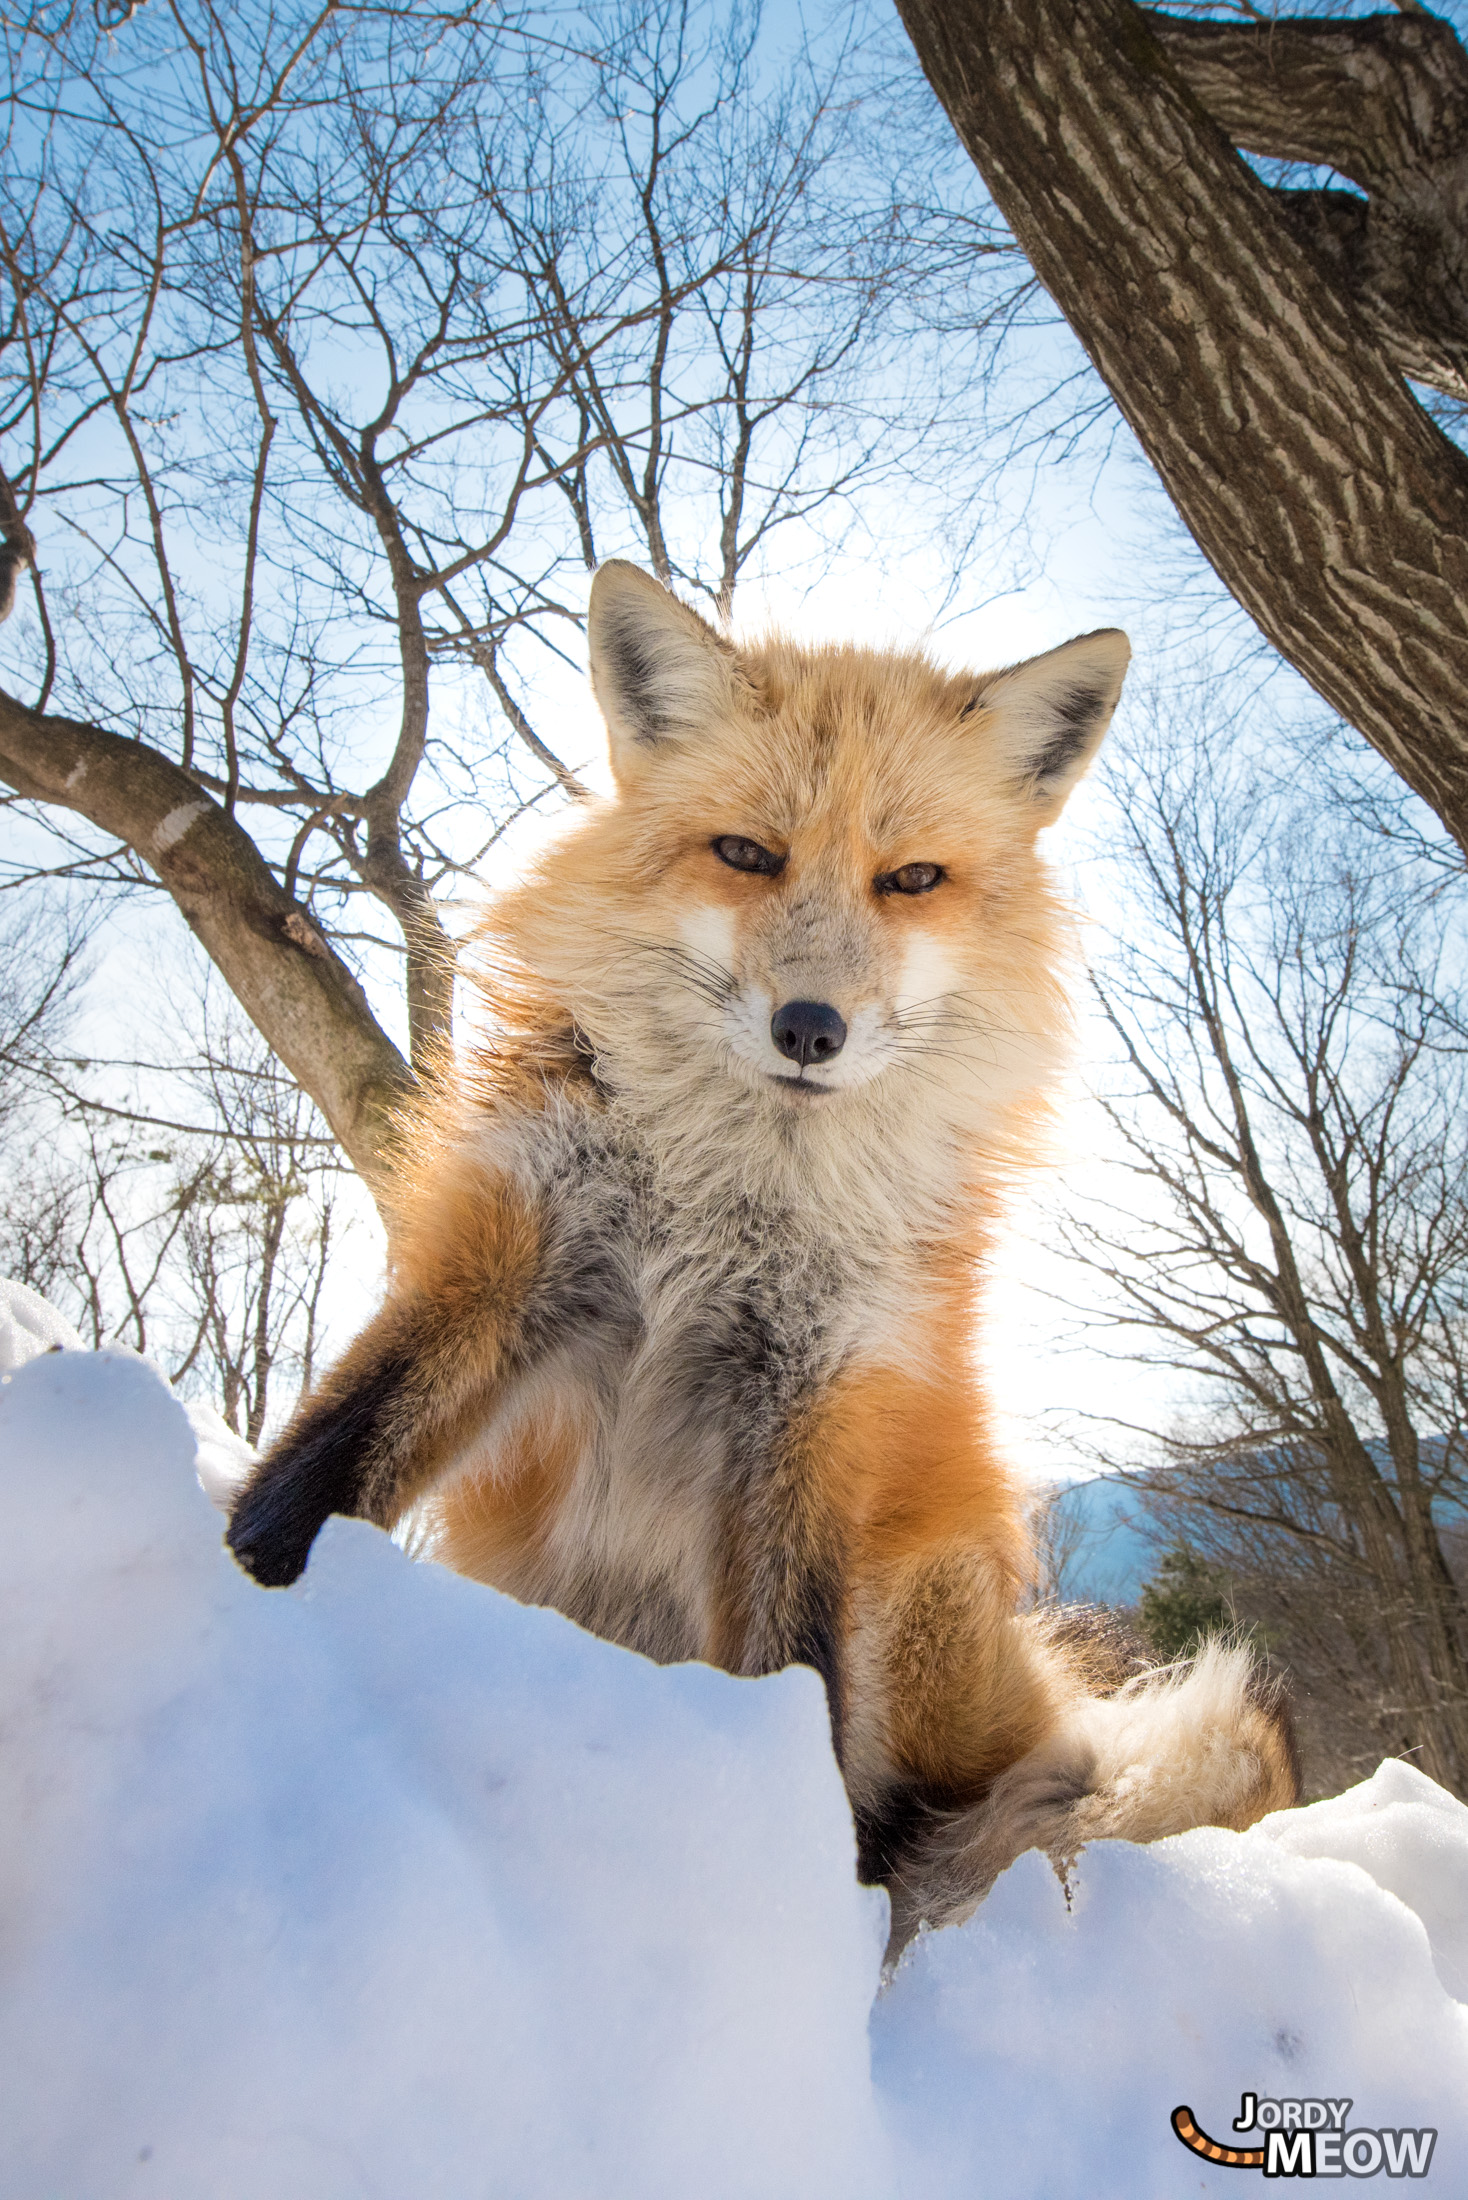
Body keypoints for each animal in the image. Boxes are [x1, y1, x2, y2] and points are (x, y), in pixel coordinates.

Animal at [226, 558, 1294, 1953]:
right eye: (746, 853)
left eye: (910, 878)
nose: (810, 1028)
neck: (723, 1197)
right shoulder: (507, 1260)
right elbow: (320, 1463)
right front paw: (233, 1598)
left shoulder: (814, 1401)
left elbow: (795, 1684)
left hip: (920, 1594)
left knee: (935, 1807)